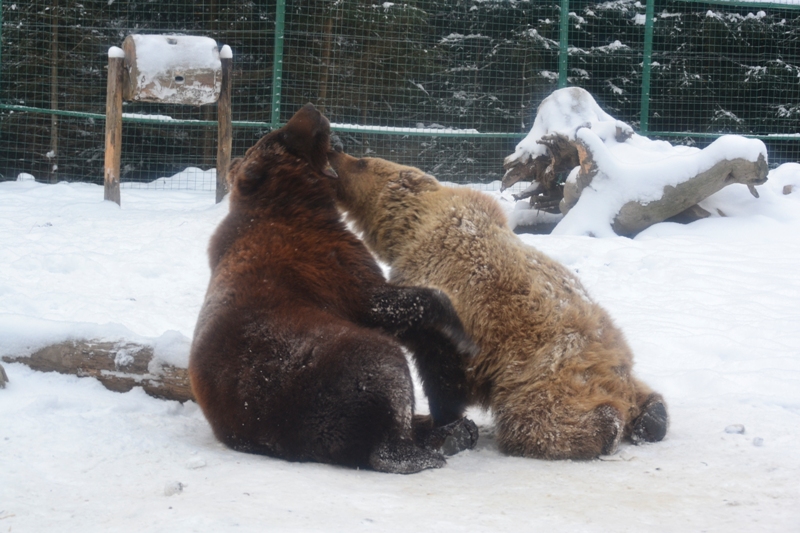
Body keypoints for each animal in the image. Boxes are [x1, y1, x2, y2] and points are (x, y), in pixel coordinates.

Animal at [188, 105, 476, 474]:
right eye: (284, 136)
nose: (311, 110)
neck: (291, 204)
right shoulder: (335, 269)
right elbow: (389, 302)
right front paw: (459, 331)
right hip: (336, 363)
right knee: (385, 394)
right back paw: (437, 439)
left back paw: (450, 429)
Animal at [326, 152, 668, 460]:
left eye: (361, 162)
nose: (335, 150)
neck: (410, 227)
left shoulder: (453, 293)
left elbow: (439, 363)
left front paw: (444, 420)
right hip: (609, 358)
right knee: (639, 393)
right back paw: (653, 416)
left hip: (545, 368)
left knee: (539, 419)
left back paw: (603, 427)